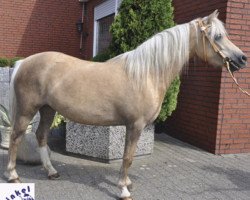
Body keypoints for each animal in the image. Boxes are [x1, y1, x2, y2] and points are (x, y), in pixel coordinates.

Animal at [5, 10, 246, 200]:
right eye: (218, 36)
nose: (242, 59)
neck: (146, 74)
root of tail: (23, 62)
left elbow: (128, 156)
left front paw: (126, 183)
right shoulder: (135, 125)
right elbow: (128, 157)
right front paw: (123, 190)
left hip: (48, 109)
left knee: (41, 136)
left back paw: (51, 171)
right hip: (27, 110)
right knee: (15, 137)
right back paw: (13, 175)